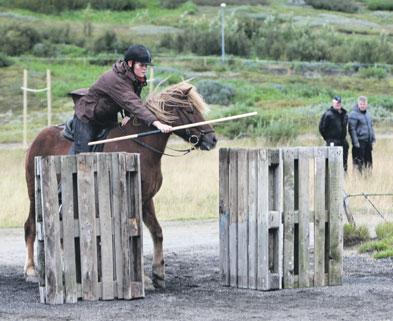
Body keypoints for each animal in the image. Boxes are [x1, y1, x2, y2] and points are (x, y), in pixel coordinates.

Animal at [23, 81, 217, 286]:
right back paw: (31, 270)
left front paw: (158, 272)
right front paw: (142, 277)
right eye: (189, 110)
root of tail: (37, 140)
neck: (140, 145)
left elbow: (156, 232)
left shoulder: (146, 199)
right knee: (31, 226)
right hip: (34, 195)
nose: (212, 139)